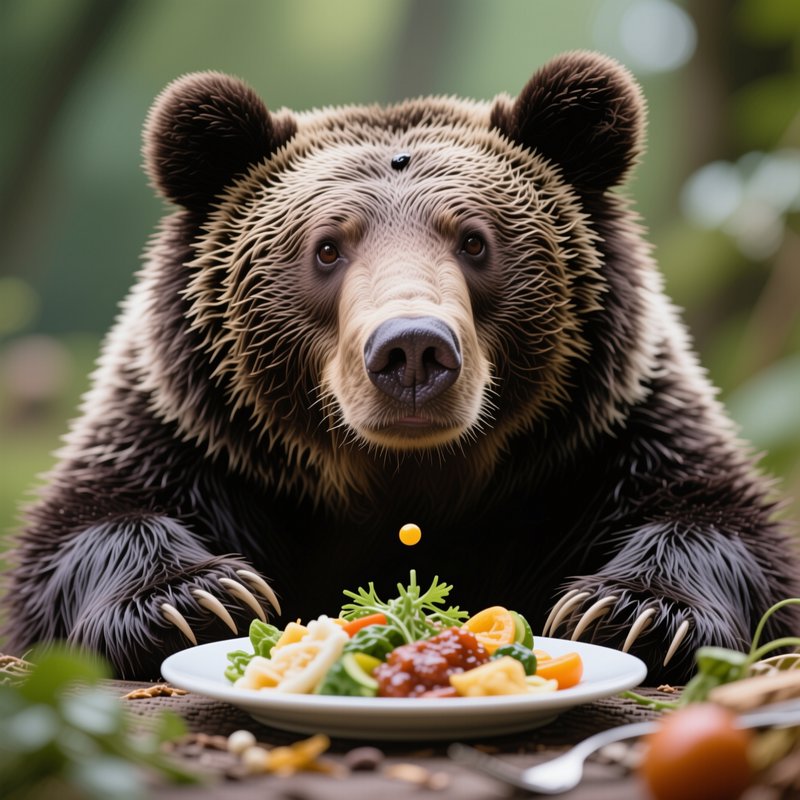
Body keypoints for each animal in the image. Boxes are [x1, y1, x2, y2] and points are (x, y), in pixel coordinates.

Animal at [3, 51, 799, 682]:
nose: (412, 348)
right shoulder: (201, 435)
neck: (404, 478)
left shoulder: (596, 441)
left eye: (474, 240)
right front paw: (197, 598)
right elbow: (88, 523)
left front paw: (634, 609)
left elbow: (716, 520)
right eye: (327, 246)